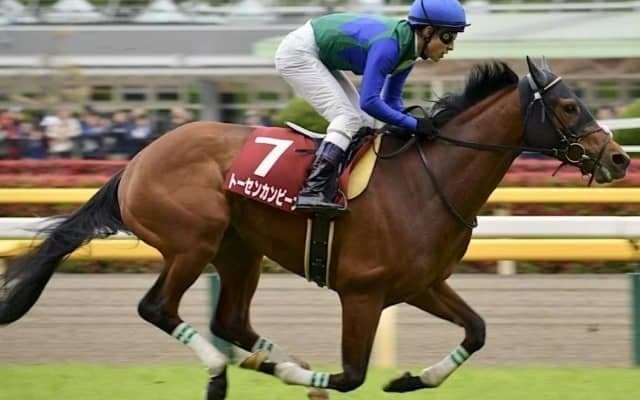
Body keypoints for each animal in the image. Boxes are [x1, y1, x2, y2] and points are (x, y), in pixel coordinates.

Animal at [0, 57, 630, 398]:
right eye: (569, 107)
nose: (620, 158)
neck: (429, 182)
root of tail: (137, 160)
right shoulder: (363, 293)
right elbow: (350, 375)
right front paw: (314, 378)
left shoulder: (422, 284)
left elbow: (476, 331)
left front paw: (408, 379)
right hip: (191, 242)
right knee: (158, 307)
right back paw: (226, 372)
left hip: (239, 250)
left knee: (231, 319)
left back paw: (267, 360)